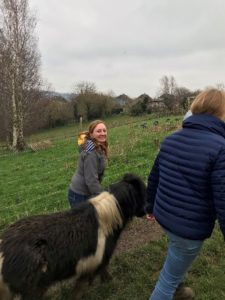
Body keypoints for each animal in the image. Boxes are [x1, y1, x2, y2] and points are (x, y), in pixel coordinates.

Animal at [0, 172, 146, 298]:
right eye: (141, 192)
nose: (146, 211)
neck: (106, 221)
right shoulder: (93, 264)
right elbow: (80, 289)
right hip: (33, 289)